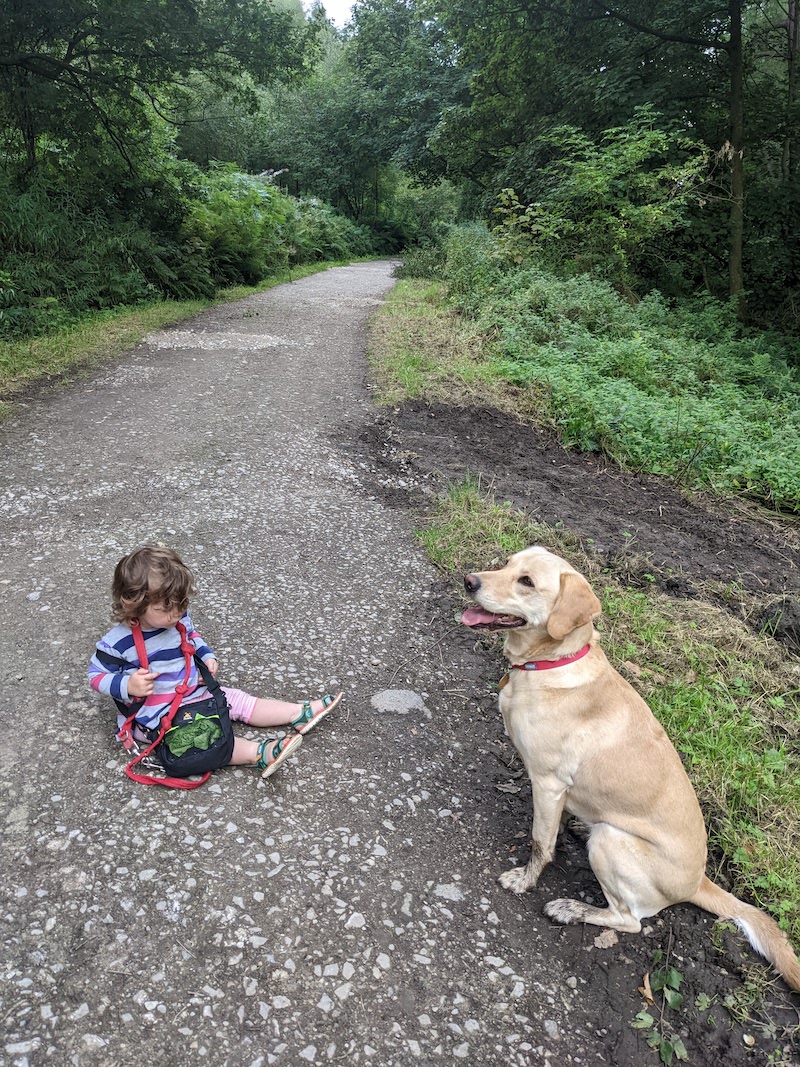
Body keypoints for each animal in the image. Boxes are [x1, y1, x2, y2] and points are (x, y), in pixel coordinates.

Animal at [462, 550, 800, 990]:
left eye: (527, 582)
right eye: (505, 563)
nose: (469, 581)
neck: (552, 663)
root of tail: (698, 881)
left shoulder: (548, 784)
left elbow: (540, 843)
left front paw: (526, 879)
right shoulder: (556, 791)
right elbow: (550, 832)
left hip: (611, 842)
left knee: (629, 920)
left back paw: (571, 908)